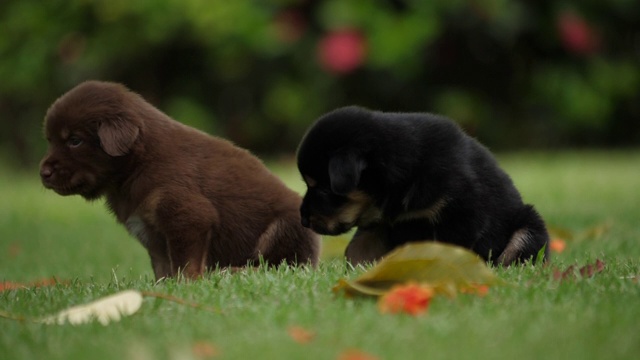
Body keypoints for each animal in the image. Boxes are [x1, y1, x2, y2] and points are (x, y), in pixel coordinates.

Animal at [39, 81, 320, 278]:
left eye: (75, 141)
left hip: (287, 226)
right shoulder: (151, 232)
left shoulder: (187, 215)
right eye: (50, 140)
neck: (138, 165)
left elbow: (186, 263)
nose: (43, 173)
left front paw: (187, 284)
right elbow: (163, 266)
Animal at [296, 105, 552, 266]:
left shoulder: (461, 215)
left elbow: (447, 249)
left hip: (528, 227)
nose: (303, 220)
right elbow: (356, 249)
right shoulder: (382, 223)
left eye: (323, 190)